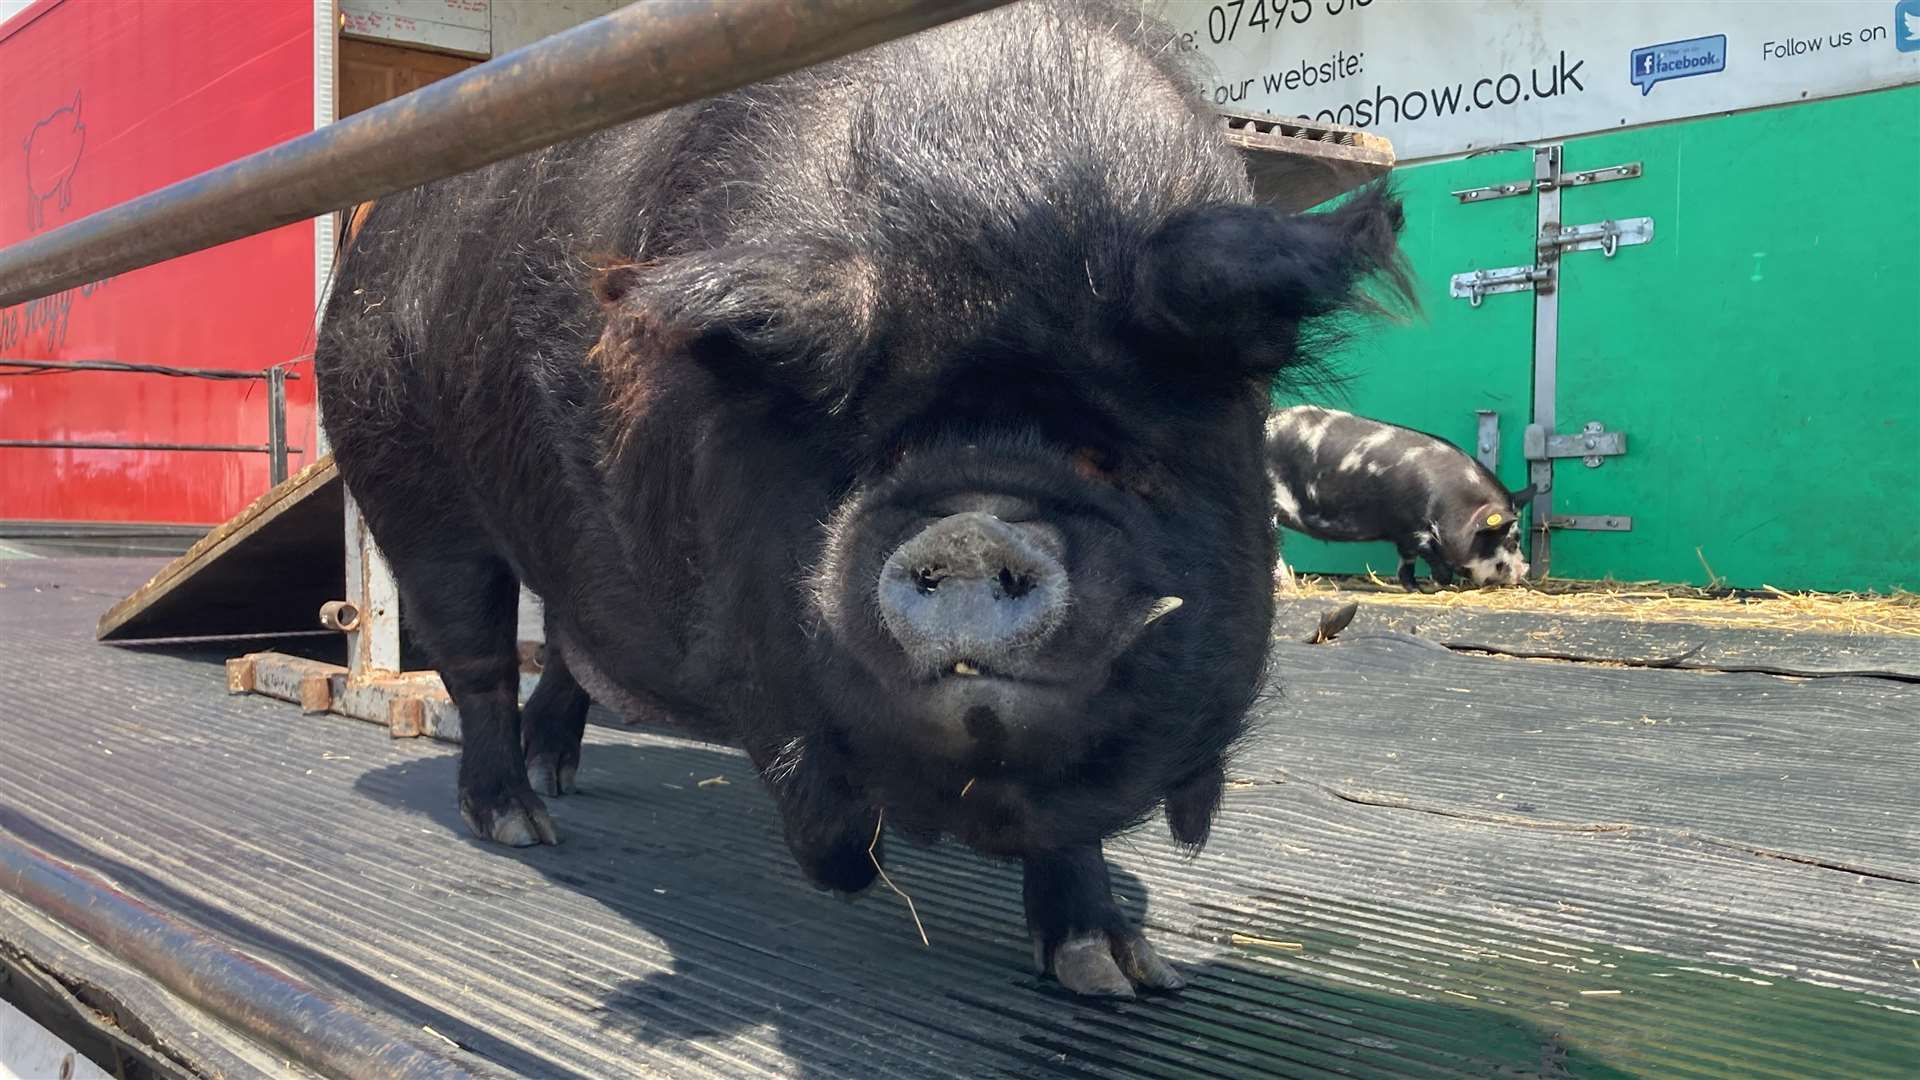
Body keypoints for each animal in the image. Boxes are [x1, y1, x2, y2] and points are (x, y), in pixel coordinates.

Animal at [307, 0, 1405, 991]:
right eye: (881, 454)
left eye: (1105, 457)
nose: (971, 531)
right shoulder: (735, 618)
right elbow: (804, 778)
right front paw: (856, 863)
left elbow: (1072, 827)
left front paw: (1120, 975)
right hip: (402, 472)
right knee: (477, 654)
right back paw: (522, 826)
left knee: (566, 647)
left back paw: (559, 782)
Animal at [1267, 403, 1536, 588]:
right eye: (1510, 539)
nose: (1525, 569)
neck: (1452, 506)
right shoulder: (1415, 529)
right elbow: (1430, 558)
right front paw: (1440, 584)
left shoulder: (1406, 535)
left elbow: (1406, 562)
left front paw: (1414, 588)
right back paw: (1288, 585)